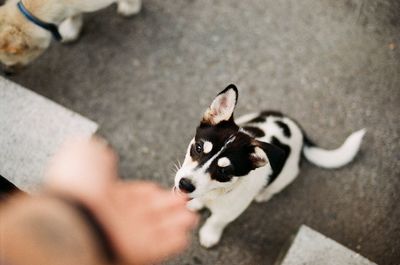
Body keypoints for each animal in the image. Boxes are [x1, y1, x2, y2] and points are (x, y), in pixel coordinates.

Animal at [174, 84, 366, 248]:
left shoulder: (230, 211)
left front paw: (209, 234)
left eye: (224, 170)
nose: (184, 184)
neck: (216, 192)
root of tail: (298, 129)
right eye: (199, 148)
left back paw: (264, 194)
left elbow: (216, 220)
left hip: (287, 175)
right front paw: (195, 204)